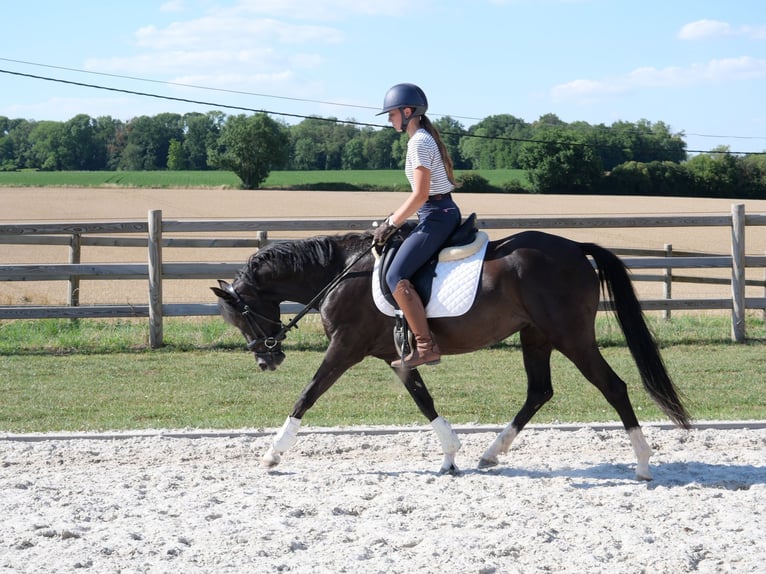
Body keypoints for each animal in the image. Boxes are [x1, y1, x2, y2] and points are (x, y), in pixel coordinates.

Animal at [211, 227, 691, 481]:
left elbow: (307, 395)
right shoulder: (395, 356)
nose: (266, 360)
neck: (341, 273)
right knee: (539, 392)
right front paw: (450, 455)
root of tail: (575, 248)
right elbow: (423, 400)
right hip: (535, 336)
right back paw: (491, 454)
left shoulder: (345, 347)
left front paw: (272, 454)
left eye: (242, 317)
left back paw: (643, 463)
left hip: (571, 337)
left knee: (613, 386)